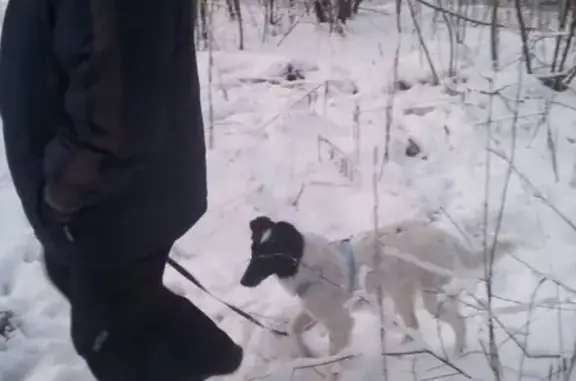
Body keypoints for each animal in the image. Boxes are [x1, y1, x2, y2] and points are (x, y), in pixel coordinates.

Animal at [240, 217, 516, 356]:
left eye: (269, 257)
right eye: (253, 252)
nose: (243, 282)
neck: (307, 264)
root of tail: (445, 236)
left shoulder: (340, 323)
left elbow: (334, 354)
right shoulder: (316, 311)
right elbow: (293, 328)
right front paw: (306, 353)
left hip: (429, 294)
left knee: (456, 321)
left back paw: (457, 352)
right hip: (401, 292)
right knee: (413, 323)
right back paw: (409, 346)